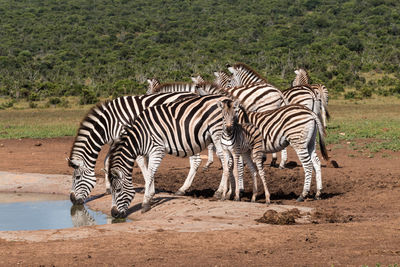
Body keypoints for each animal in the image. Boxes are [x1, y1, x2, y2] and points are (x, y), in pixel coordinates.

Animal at [68, 92, 197, 205]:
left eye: (77, 177)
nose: (72, 200)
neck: (109, 123)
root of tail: (193, 93)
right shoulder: (116, 142)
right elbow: (107, 162)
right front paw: (109, 188)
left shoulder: (131, 138)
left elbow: (141, 163)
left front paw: (149, 189)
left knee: (195, 160)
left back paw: (182, 189)